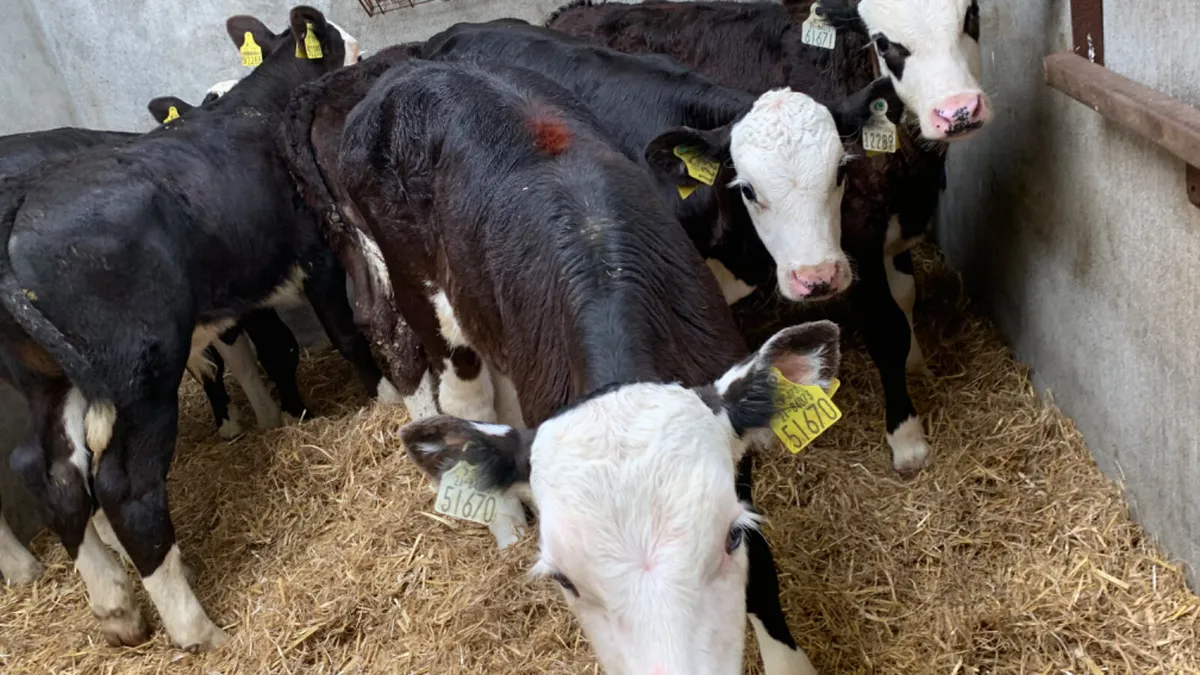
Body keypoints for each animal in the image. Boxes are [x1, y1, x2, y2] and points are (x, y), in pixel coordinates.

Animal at [0, 6, 369, 648]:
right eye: (355, 54)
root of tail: (22, 204)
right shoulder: (319, 254)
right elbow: (341, 337)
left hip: (47, 378)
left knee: (48, 470)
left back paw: (116, 607)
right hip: (138, 375)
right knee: (124, 488)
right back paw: (197, 629)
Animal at [549, 0, 993, 473]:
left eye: (970, 16)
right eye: (884, 42)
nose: (958, 110)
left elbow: (906, 297)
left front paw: (916, 365)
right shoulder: (858, 234)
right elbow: (885, 326)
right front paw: (907, 438)